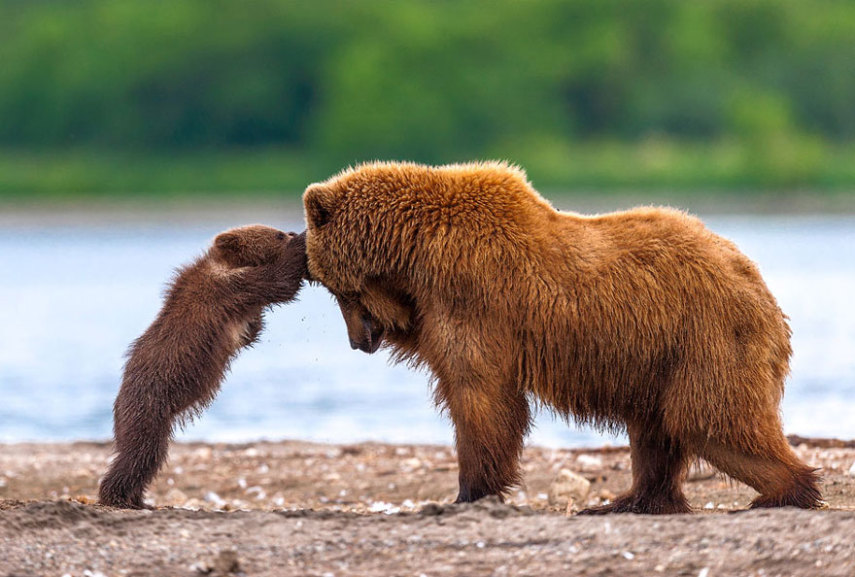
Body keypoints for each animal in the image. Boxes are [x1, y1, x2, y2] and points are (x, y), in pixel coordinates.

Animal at [304, 159, 824, 512]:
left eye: (335, 288)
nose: (358, 341)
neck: (414, 249)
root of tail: (761, 287)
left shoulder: (471, 294)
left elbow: (479, 395)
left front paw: (469, 491)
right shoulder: (434, 304)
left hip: (706, 337)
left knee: (710, 420)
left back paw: (783, 490)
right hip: (659, 358)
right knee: (657, 431)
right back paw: (628, 500)